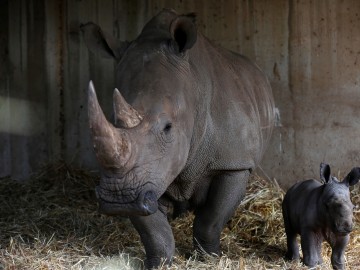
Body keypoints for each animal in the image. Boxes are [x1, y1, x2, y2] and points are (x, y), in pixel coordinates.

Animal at [80, 7, 274, 268]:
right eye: (112, 121)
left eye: (168, 127)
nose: (118, 199)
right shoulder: (147, 178)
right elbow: (153, 230)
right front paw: (159, 262)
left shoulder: (234, 162)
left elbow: (211, 219)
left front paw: (210, 257)